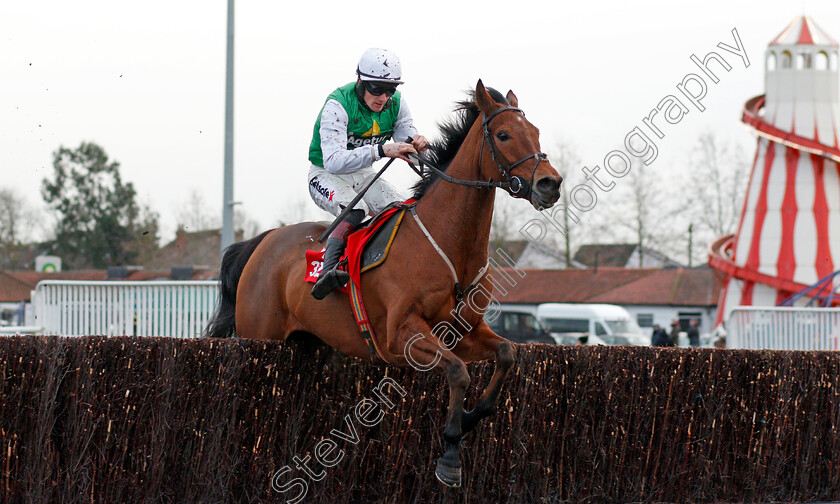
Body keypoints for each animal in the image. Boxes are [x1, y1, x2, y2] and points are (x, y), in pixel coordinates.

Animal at [207, 79, 564, 488]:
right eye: (504, 134)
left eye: (535, 131)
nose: (550, 183)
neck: (451, 243)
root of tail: (262, 242)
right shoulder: (401, 335)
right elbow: (458, 372)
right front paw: (450, 454)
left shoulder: (466, 330)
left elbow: (507, 353)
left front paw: (472, 416)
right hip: (260, 335)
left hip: (305, 341)